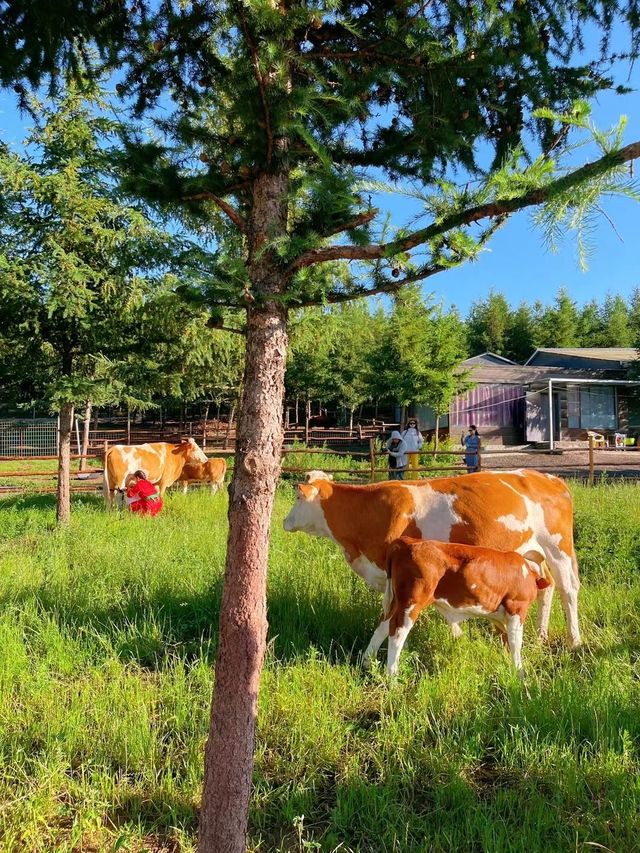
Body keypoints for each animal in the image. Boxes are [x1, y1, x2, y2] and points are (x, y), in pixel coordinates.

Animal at [282, 466, 584, 644]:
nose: (284, 521)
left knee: (568, 589)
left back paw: (574, 640)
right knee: (547, 587)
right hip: (533, 552)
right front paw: (457, 636)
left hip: (558, 549)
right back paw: (542, 635)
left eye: (297, 497)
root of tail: (548, 477)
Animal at [362, 536, 552, 676]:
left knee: (383, 626)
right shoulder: (517, 609)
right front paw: (520, 673)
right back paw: (392, 676)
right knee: (397, 631)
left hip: (396, 601)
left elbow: (505, 639)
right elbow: (515, 642)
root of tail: (407, 542)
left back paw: (367, 663)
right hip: (411, 602)